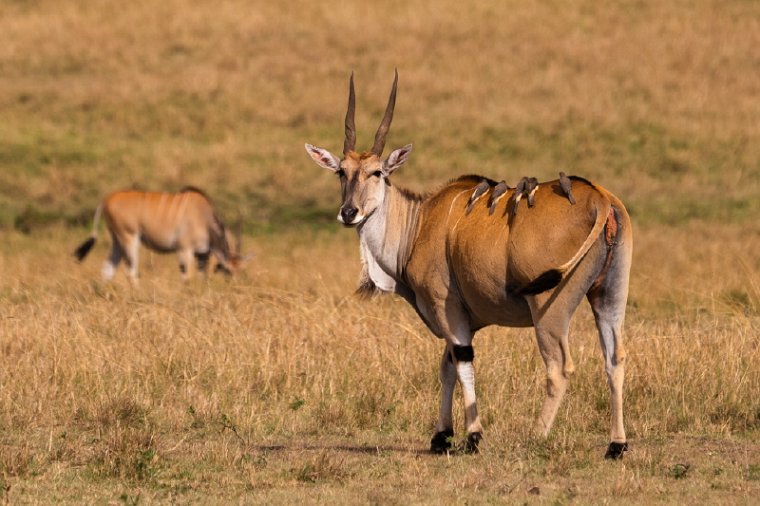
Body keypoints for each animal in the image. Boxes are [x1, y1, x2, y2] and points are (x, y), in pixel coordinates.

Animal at [74, 187, 243, 282]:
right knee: (131, 271)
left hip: (117, 241)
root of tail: (106, 199)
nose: (234, 285)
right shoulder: (184, 249)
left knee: (107, 270)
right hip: (129, 238)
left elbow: (202, 278)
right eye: (229, 271)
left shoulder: (202, 255)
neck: (203, 216)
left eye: (239, 270)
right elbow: (188, 277)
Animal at [306, 72, 632, 462]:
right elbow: (446, 365)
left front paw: (472, 436)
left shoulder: (446, 310)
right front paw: (441, 436)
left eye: (377, 173)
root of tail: (601, 200)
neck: (419, 221)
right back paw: (616, 445)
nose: (349, 212)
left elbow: (461, 361)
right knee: (615, 358)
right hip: (609, 299)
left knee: (559, 367)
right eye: (342, 172)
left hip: (549, 310)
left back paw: (534, 436)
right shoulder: (459, 319)